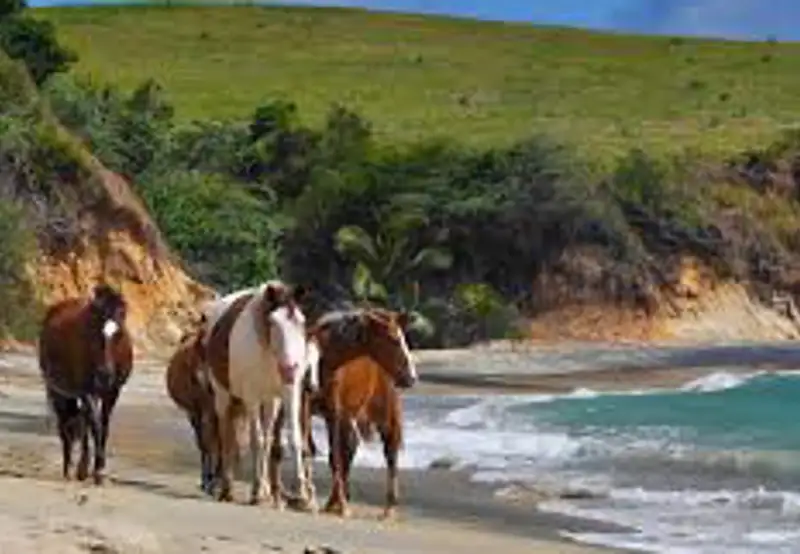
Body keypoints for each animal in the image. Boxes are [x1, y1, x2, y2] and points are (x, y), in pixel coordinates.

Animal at [38, 283, 134, 485]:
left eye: (119, 333)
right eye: (93, 332)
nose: (104, 374)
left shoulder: (113, 392)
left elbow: (103, 425)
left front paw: (98, 468)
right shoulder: (86, 391)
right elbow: (94, 426)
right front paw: (95, 470)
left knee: (80, 421)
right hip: (57, 390)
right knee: (66, 424)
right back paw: (70, 467)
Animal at [202, 280, 319, 509]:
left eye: (301, 322)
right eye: (273, 322)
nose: (290, 369)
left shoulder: (288, 393)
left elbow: (291, 438)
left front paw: (302, 494)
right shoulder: (252, 396)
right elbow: (256, 440)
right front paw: (256, 491)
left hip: (270, 401)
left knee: (264, 436)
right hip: (223, 394)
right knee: (226, 434)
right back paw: (226, 487)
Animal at [300, 307, 418, 519]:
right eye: (394, 339)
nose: (411, 377)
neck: (325, 358)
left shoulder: (333, 411)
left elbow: (335, 457)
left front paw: (342, 506)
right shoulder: (305, 407)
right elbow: (308, 450)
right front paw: (311, 500)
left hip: (384, 412)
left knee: (390, 451)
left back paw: (388, 507)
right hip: (349, 414)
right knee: (351, 447)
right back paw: (334, 501)